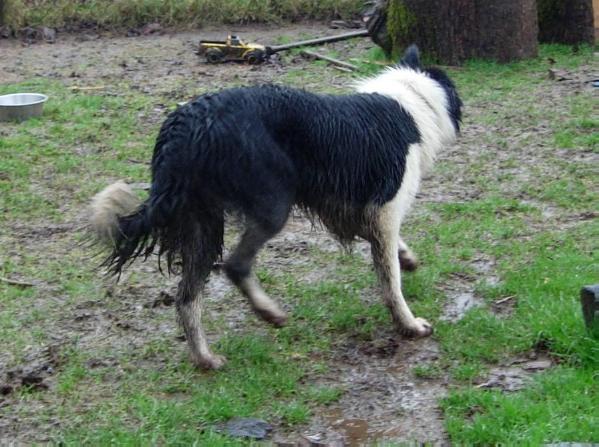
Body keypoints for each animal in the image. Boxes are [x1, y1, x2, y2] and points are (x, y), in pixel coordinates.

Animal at [90, 46, 464, 372]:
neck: (411, 97)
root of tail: (187, 122)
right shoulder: (385, 210)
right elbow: (390, 281)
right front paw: (409, 325)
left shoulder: (354, 211)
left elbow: (388, 253)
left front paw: (407, 257)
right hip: (272, 208)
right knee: (236, 265)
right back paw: (268, 313)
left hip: (203, 223)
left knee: (187, 296)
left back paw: (205, 358)